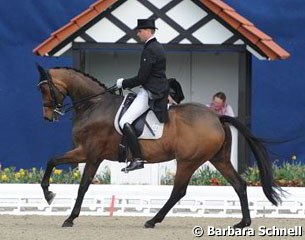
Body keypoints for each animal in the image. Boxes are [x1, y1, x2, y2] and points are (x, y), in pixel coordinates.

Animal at [35, 65, 280, 229]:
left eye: (45, 90)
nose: (47, 116)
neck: (94, 106)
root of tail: (217, 117)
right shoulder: (88, 155)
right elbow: (64, 170)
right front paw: (56, 202)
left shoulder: (89, 154)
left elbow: (73, 178)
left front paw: (58, 206)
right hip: (218, 159)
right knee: (239, 184)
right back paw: (243, 223)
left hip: (188, 161)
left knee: (178, 191)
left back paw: (152, 220)